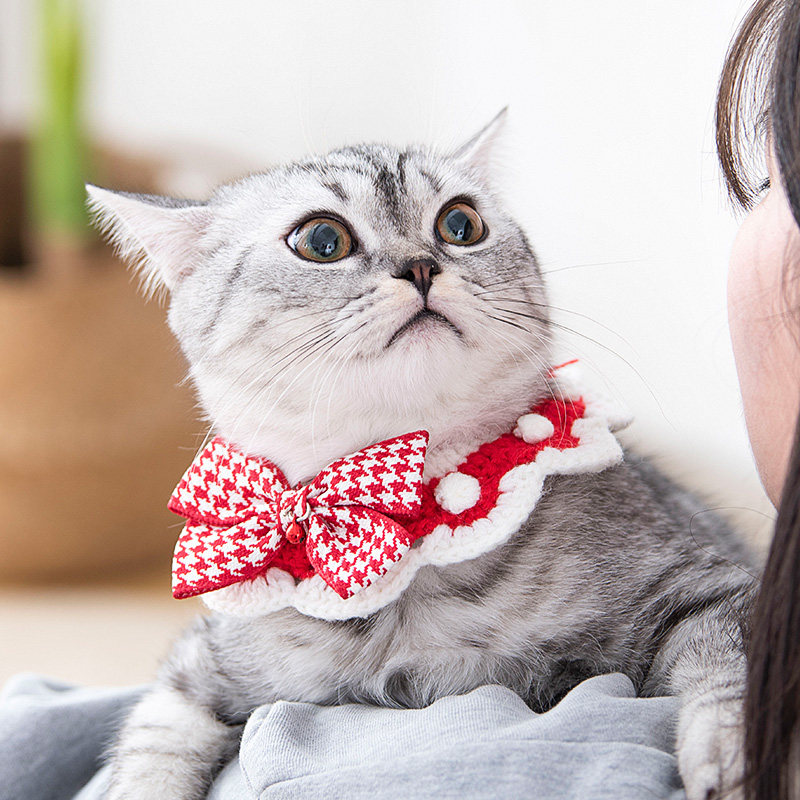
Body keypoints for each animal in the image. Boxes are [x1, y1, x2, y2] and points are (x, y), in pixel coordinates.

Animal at [87, 110, 756, 800]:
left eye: (460, 225)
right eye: (321, 239)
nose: (421, 265)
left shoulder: (705, 582)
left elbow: (729, 670)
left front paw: (729, 754)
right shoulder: (196, 671)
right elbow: (152, 747)